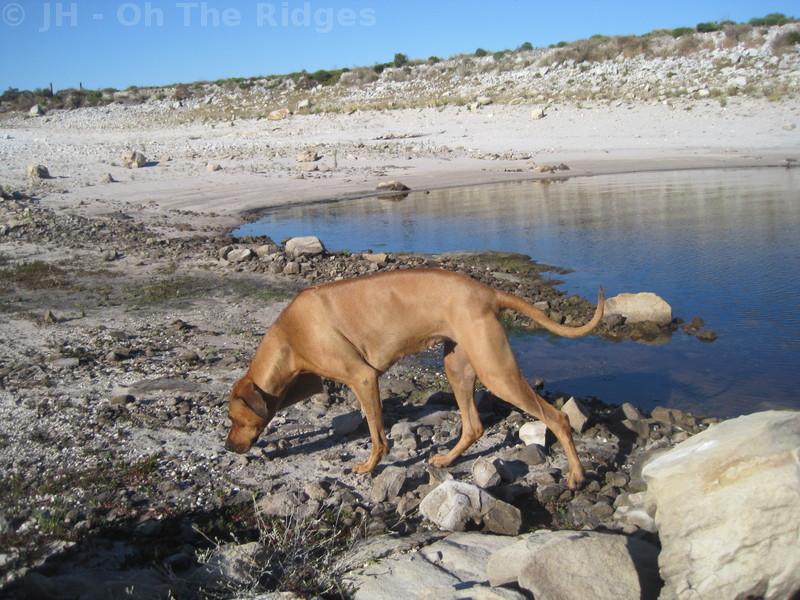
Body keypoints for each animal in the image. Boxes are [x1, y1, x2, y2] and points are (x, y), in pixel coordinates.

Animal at [222, 268, 604, 488]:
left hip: (498, 373)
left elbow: (377, 434)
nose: (227, 447)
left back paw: (577, 475)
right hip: (457, 367)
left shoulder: (363, 378)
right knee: (474, 425)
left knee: (557, 417)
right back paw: (447, 459)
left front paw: (370, 466)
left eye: (234, 419)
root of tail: (487, 292)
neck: (290, 334)